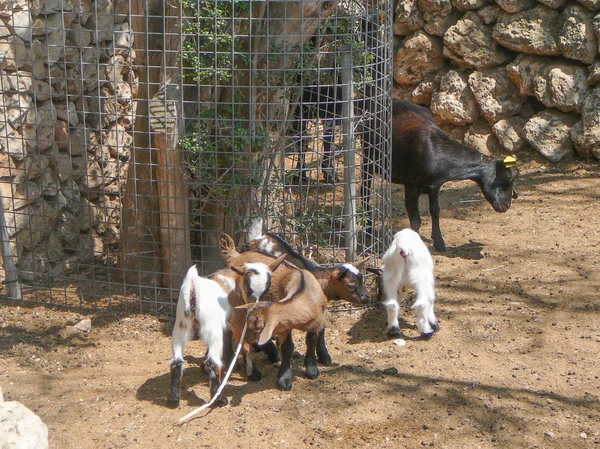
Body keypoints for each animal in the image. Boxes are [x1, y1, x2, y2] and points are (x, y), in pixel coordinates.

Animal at [382, 99, 516, 250]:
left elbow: (435, 210)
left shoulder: (435, 187)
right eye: (507, 175)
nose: (506, 205)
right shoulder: (411, 186)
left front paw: (439, 242)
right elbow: (415, 220)